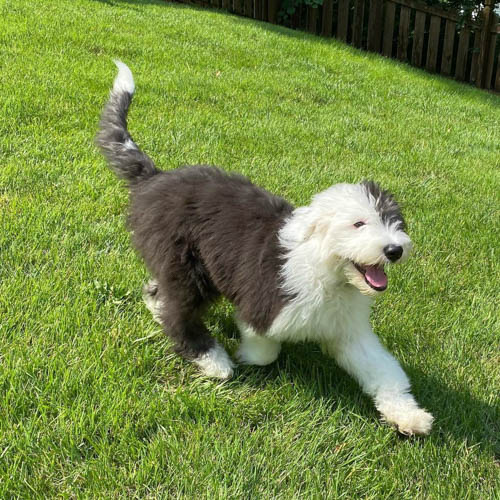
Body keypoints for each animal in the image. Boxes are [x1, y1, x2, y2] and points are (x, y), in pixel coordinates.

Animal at [96, 62, 434, 436]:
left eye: (395, 222)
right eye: (358, 223)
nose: (394, 250)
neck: (325, 273)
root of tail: (155, 177)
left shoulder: (350, 331)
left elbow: (383, 370)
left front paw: (409, 416)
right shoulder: (263, 304)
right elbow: (264, 348)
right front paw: (247, 354)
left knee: (158, 293)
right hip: (187, 264)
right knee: (179, 313)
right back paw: (215, 361)